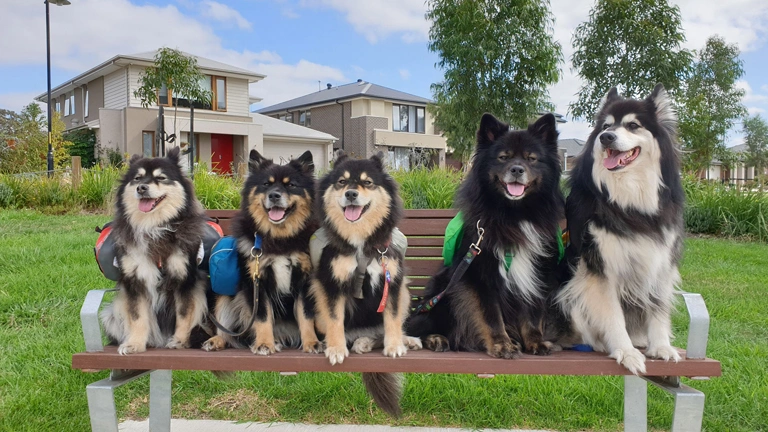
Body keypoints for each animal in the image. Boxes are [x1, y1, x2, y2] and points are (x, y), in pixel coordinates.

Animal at [102, 148, 212, 354]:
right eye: (137, 178)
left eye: (161, 178)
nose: (141, 188)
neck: (155, 227)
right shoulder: (135, 281)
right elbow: (137, 317)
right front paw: (134, 344)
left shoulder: (185, 279)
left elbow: (184, 314)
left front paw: (179, 341)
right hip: (112, 315)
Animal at [201, 149, 318, 354]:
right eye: (266, 184)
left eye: (291, 185)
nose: (274, 195)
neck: (279, 238)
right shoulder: (255, 282)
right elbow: (263, 317)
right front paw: (264, 343)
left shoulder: (304, 280)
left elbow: (306, 315)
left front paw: (311, 342)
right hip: (225, 295)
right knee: (228, 332)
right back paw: (218, 340)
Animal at [298, 153, 420, 416]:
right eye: (342, 182)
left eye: (367, 182)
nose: (351, 194)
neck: (360, 243)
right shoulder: (331, 283)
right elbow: (335, 320)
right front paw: (336, 349)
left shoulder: (393, 282)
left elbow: (392, 319)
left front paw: (395, 345)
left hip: (405, 292)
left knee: (384, 329)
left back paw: (402, 340)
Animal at [560, 84, 684, 374]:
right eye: (606, 125)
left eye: (633, 125)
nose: (606, 137)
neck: (629, 200)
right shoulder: (600, 268)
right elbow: (612, 314)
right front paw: (625, 351)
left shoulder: (660, 263)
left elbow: (658, 308)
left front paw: (661, 347)